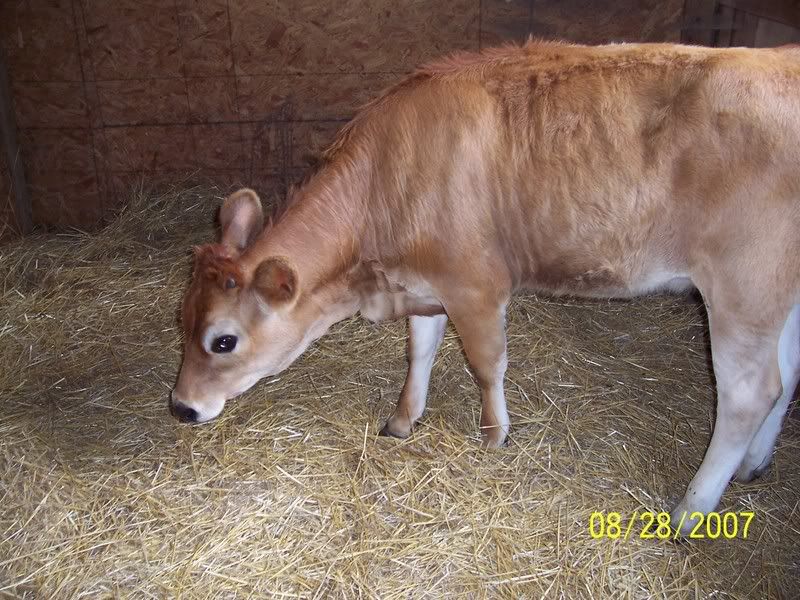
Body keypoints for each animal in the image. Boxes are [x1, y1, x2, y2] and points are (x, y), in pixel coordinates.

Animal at [172, 41, 800, 534]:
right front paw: (403, 420)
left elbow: (485, 363)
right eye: (181, 319)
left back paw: (690, 511)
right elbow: (420, 350)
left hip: (741, 286)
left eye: (223, 341)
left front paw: (495, 436)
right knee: (787, 374)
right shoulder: (426, 282)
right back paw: (754, 464)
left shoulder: (474, 284)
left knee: (748, 394)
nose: (181, 407)